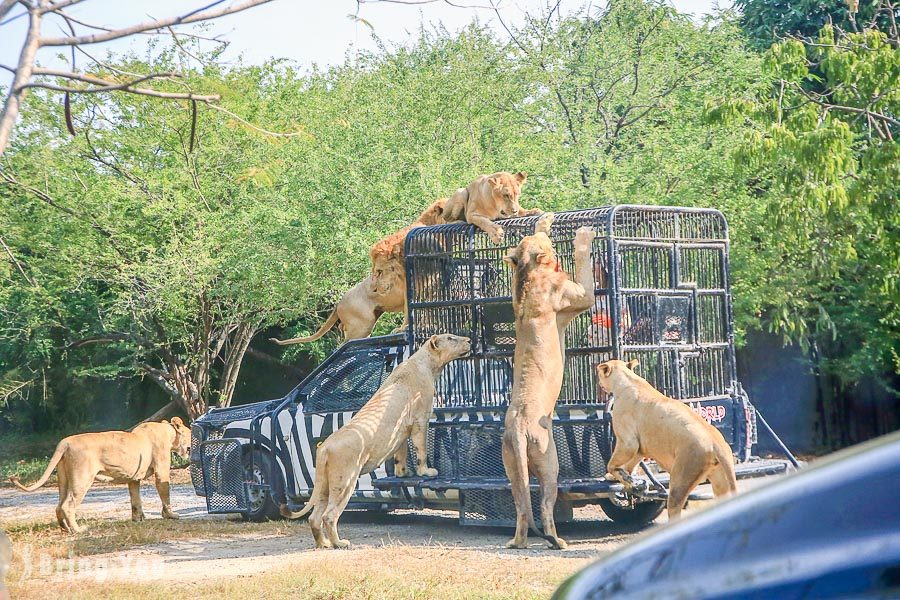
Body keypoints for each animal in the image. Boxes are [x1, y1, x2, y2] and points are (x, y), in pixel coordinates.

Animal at [8, 418, 192, 536]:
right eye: (191, 433)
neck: (168, 432)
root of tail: (65, 442)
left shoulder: (133, 478)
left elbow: (135, 500)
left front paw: (138, 519)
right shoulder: (161, 471)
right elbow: (165, 493)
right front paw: (171, 515)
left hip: (64, 479)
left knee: (59, 505)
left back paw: (65, 529)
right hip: (82, 479)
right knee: (68, 505)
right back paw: (78, 530)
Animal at [282, 332, 472, 548]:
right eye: (451, 338)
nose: (469, 340)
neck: (426, 362)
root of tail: (324, 448)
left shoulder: (401, 429)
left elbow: (401, 453)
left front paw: (403, 473)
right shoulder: (420, 420)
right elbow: (421, 450)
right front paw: (426, 472)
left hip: (323, 485)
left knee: (314, 517)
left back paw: (324, 544)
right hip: (345, 480)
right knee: (329, 516)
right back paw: (340, 543)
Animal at [502, 216, 596, 548]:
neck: (529, 274)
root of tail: (518, 425)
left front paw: (543, 220)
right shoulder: (581, 295)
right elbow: (583, 263)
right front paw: (583, 235)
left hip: (512, 467)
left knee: (521, 508)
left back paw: (517, 543)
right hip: (549, 462)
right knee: (543, 505)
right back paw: (558, 541)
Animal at [596, 360, 736, 520]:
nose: (597, 381)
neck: (627, 379)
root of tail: (717, 443)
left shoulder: (628, 442)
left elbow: (612, 464)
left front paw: (625, 478)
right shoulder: (640, 447)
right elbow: (631, 464)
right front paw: (623, 477)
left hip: (682, 476)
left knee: (675, 508)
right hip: (720, 480)